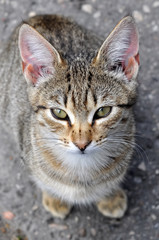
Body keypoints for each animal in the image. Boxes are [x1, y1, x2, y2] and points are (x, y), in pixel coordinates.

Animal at [0, 14, 139, 218]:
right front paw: (54, 198)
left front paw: (110, 196)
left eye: (103, 111)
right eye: (59, 113)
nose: (82, 144)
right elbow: (44, 181)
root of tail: (40, 16)